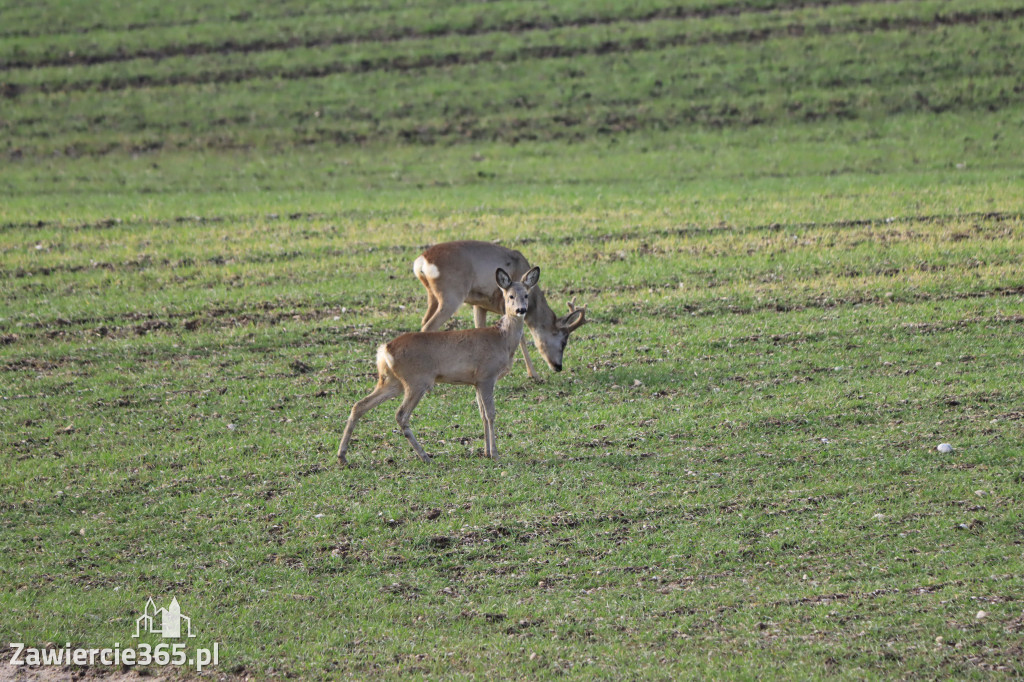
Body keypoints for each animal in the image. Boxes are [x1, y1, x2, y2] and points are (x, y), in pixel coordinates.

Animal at [337, 264, 544, 462]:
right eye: (510, 296)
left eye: (526, 295)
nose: (521, 310)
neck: (502, 339)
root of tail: (384, 350)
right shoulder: (487, 375)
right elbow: (490, 414)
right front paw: (494, 454)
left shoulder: (476, 381)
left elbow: (482, 415)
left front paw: (486, 452)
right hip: (416, 380)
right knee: (400, 415)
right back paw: (425, 456)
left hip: (392, 381)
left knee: (360, 405)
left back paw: (342, 456)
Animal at [407, 238, 585, 376]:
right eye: (563, 341)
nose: (558, 367)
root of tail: (422, 261)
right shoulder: (507, 306)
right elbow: (521, 336)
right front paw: (533, 374)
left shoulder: (479, 305)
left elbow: (479, 328)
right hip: (451, 295)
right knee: (428, 326)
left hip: (432, 296)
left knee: (423, 322)